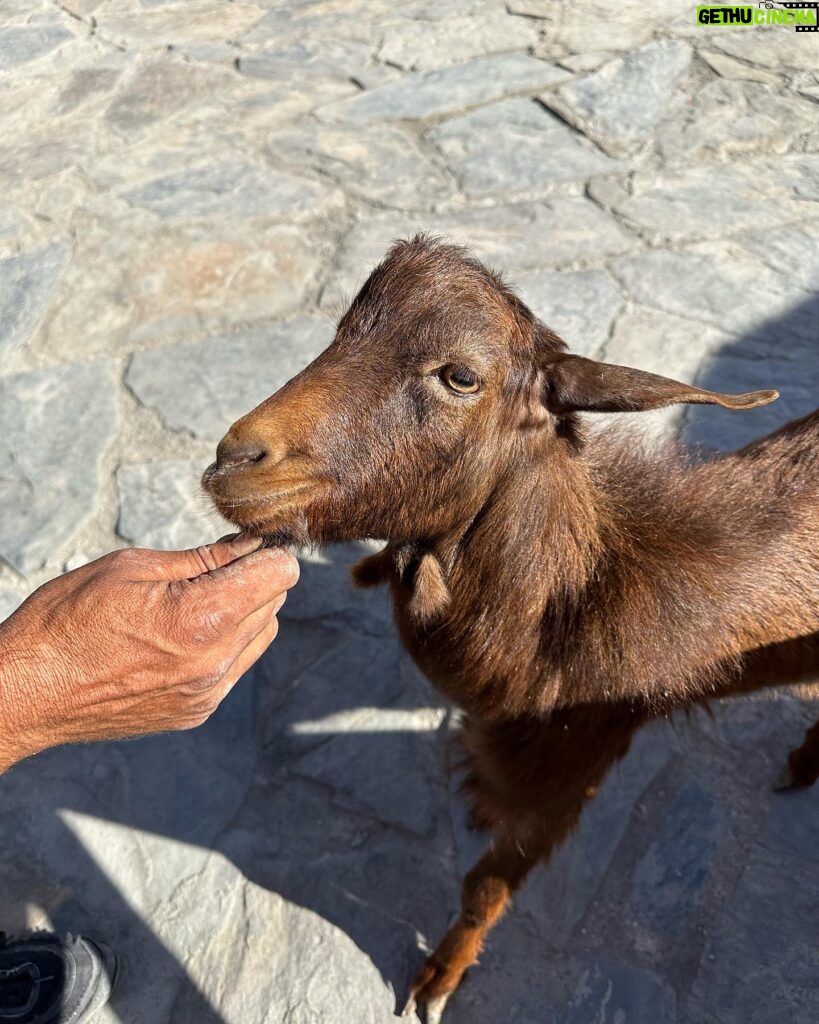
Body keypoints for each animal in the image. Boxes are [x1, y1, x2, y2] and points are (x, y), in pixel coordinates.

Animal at [202, 235, 818, 1019]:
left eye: (460, 376)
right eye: (340, 330)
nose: (234, 459)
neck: (574, 605)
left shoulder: (575, 763)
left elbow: (483, 887)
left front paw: (437, 979)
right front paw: (475, 802)